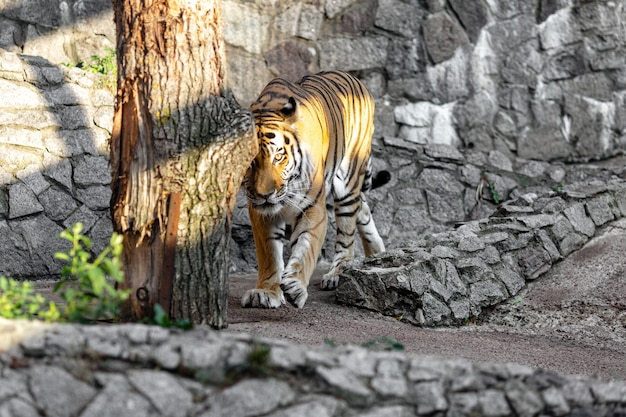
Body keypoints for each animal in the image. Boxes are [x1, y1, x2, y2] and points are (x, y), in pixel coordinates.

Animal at [239, 69, 386, 308]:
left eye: (278, 156)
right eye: (250, 162)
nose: (266, 195)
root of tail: (356, 80)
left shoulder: (312, 206)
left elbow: (306, 247)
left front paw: (295, 287)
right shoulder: (260, 212)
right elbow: (269, 255)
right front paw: (266, 292)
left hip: (348, 180)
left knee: (347, 231)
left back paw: (337, 274)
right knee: (362, 208)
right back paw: (376, 255)